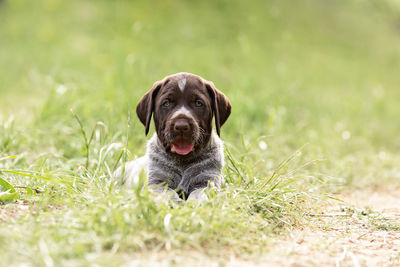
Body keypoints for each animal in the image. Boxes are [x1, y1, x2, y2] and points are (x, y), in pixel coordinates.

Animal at [115, 72, 231, 202]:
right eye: (166, 103)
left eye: (198, 103)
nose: (181, 126)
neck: (183, 161)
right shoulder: (157, 183)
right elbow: (169, 194)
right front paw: (176, 203)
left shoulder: (207, 181)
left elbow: (199, 195)